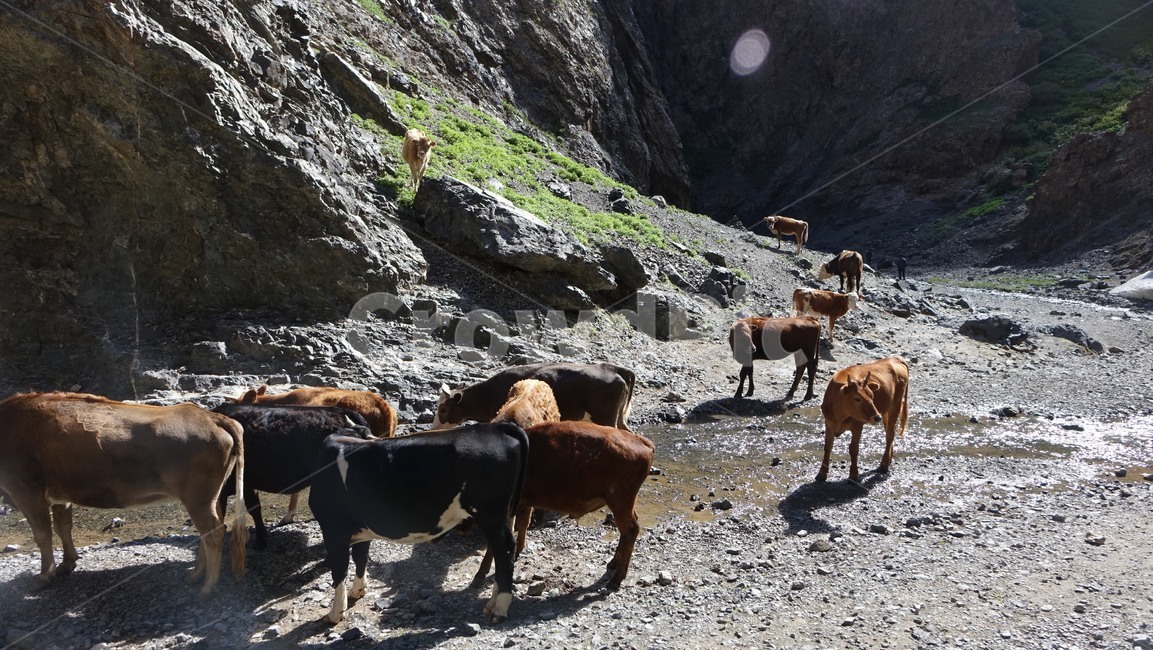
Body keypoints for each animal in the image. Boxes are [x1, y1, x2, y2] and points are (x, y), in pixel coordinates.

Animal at [0, 392, 247, 594]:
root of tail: (210, 416)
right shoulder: (61, 496)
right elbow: (63, 527)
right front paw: (67, 564)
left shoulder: (25, 490)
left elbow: (43, 535)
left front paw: (44, 577)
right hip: (209, 496)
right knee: (209, 529)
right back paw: (195, 576)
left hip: (197, 497)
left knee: (213, 531)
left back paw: (207, 587)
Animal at [309, 423, 529, 625]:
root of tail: (496, 427)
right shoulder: (361, 528)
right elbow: (360, 558)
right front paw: (358, 591)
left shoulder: (333, 530)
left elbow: (339, 570)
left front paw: (335, 613)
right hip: (502, 514)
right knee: (498, 551)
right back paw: (492, 603)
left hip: (490, 513)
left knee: (504, 551)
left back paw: (499, 609)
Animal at [472, 381, 654, 590]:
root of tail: (644, 443)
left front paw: (480, 575)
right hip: (621, 503)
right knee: (628, 530)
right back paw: (613, 565)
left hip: (619, 501)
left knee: (631, 530)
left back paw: (616, 580)